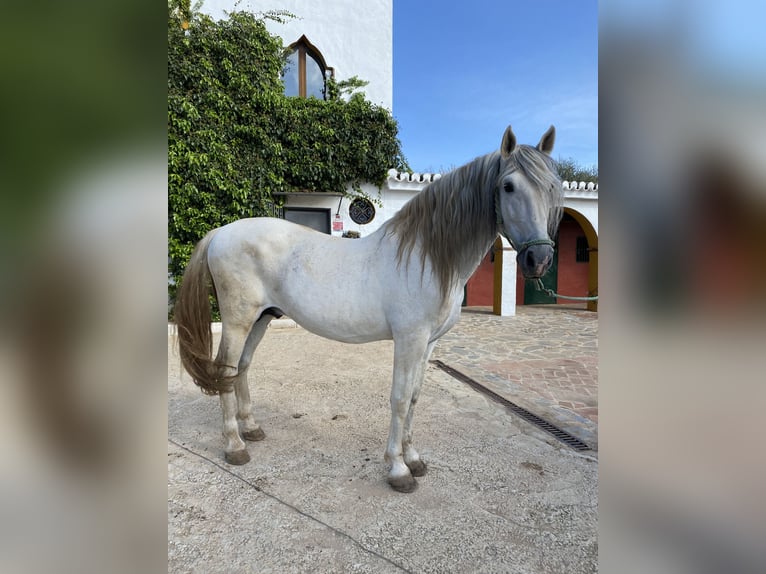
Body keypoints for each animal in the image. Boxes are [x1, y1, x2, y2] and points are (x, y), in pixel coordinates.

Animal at [174, 127, 564, 496]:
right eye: (508, 186)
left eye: (552, 187)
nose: (539, 259)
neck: (427, 258)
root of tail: (221, 232)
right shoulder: (409, 340)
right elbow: (400, 399)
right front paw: (398, 470)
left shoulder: (429, 343)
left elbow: (416, 397)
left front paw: (414, 459)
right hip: (238, 320)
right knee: (225, 369)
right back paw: (234, 446)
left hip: (262, 318)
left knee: (241, 367)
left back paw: (251, 429)